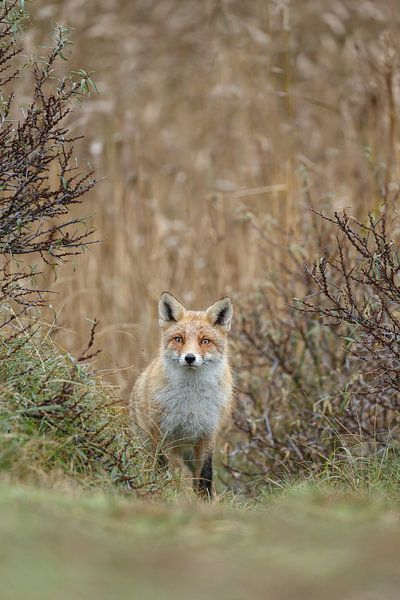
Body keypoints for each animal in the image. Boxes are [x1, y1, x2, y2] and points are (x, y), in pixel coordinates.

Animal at [130, 292, 233, 500]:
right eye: (179, 339)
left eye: (205, 341)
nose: (190, 358)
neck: (191, 401)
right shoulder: (160, 431)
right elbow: (161, 469)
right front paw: (160, 491)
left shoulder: (207, 432)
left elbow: (206, 475)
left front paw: (206, 501)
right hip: (147, 443)